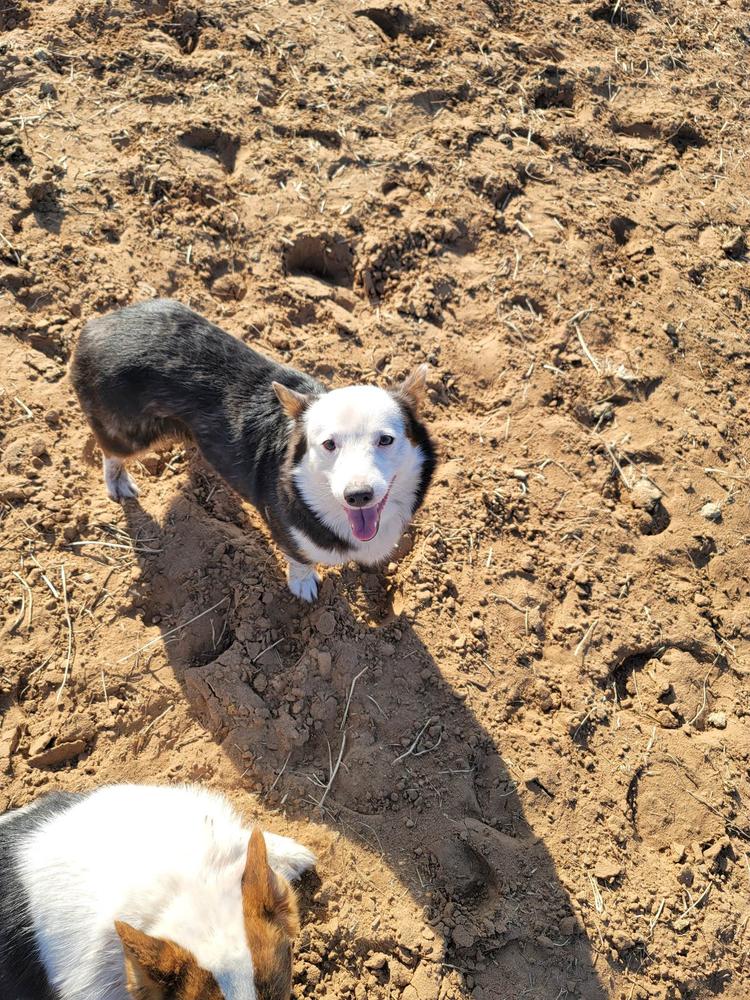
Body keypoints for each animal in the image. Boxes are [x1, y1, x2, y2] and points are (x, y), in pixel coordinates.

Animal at [70, 298, 438, 600]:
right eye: (329, 444)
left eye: (386, 440)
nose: (358, 496)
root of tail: (94, 327)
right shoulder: (288, 534)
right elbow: (300, 560)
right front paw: (303, 585)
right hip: (128, 432)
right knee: (111, 453)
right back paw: (118, 481)